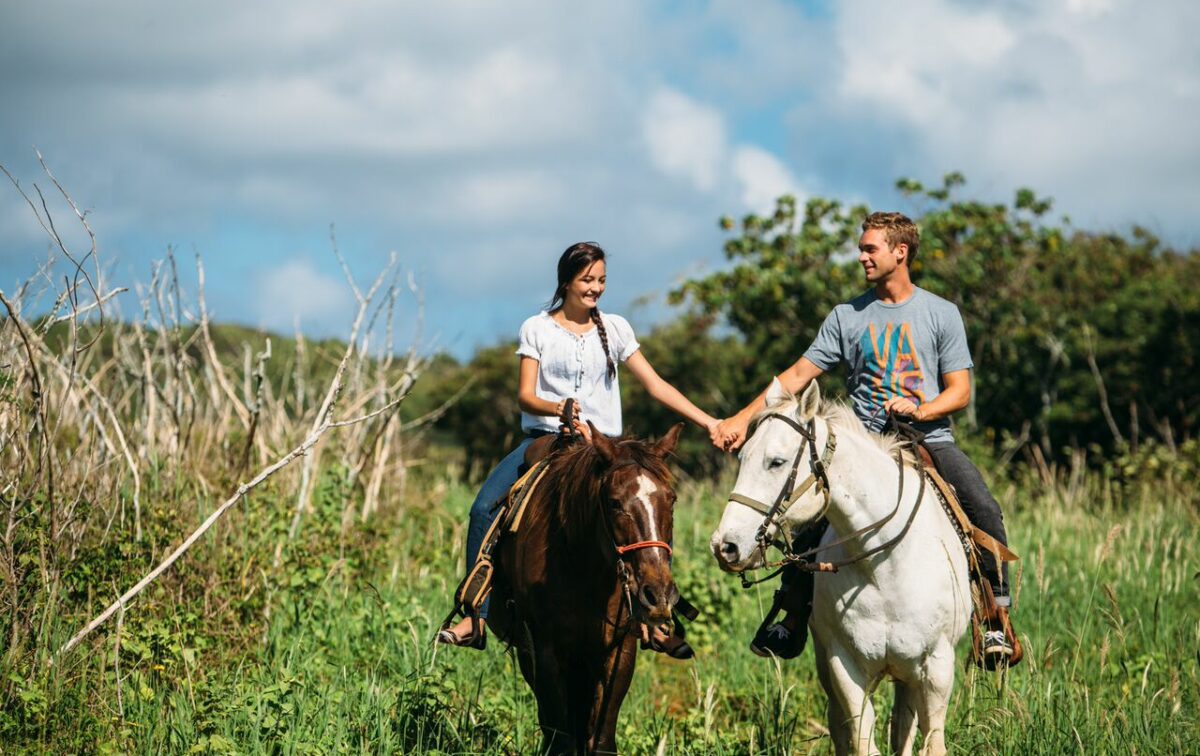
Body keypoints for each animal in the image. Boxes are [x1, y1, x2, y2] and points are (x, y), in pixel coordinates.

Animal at [484, 424, 686, 753]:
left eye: (671, 500)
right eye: (615, 502)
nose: (658, 596)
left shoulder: (618, 651)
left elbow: (601, 739)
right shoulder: (545, 652)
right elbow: (560, 738)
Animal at [705, 381, 969, 753]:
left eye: (776, 462)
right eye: (742, 458)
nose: (724, 546)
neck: (883, 566)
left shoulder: (937, 667)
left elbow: (931, 742)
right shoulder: (843, 666)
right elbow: (861, 740)